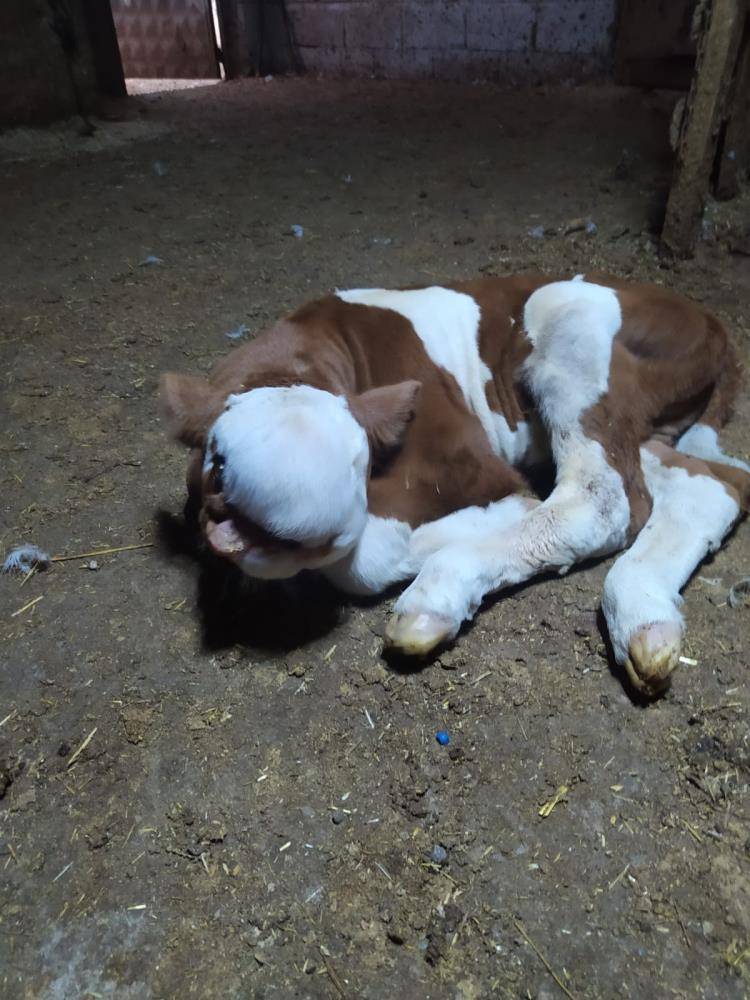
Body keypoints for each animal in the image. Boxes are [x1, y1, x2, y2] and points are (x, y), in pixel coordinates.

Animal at [162, 274, 748, 696]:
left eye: (359, 464)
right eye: (217, 462)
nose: (261, 536)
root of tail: (712, 323)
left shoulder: (471, 464)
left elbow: (364, 562)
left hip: (566, 321)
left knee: (605, 499)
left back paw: (436, 597)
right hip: (649, 425)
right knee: (713, 484)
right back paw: (646, 616)